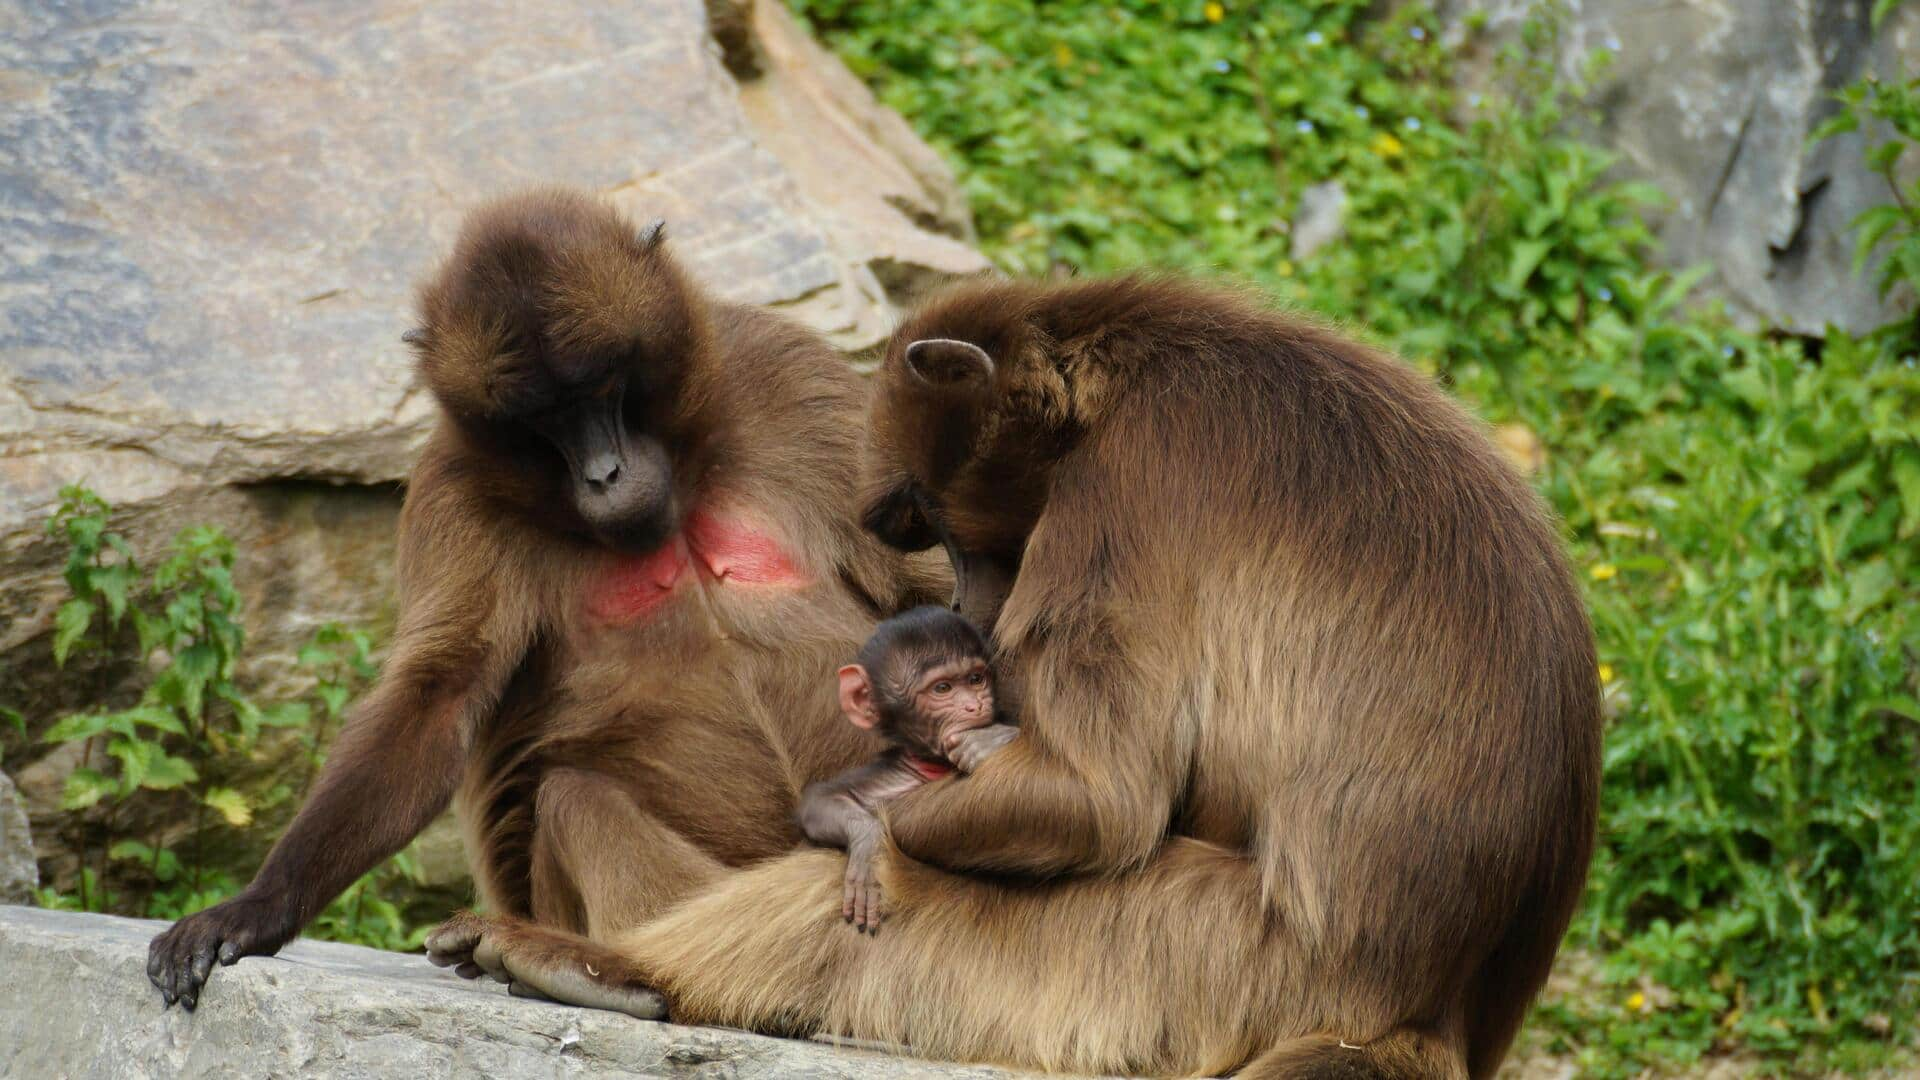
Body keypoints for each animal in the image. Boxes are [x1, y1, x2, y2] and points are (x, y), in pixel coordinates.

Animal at [791, 599, 1013, 930]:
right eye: (943, 688)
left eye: (976, 679)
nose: (974, 706)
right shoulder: (889, 774)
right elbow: (821, 800)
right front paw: (869, 846)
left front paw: (990, 740)